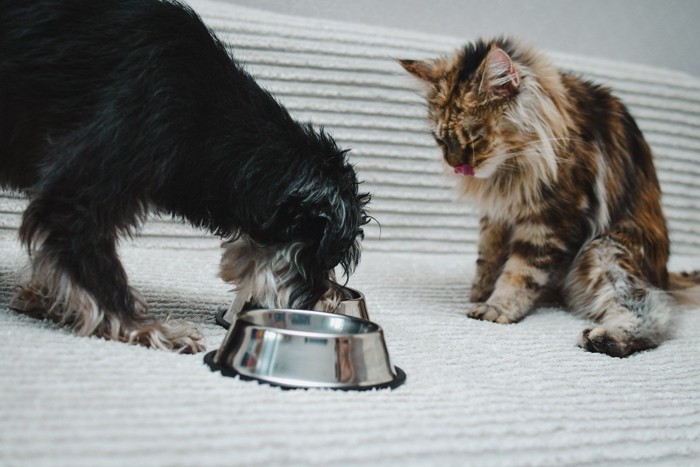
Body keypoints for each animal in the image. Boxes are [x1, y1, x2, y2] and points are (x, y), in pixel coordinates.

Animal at [0, 0, 370, 352]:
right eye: (324, 258)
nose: (332, 297)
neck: (210, 120)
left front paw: (43, 298)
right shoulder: (88, 182)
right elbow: (91, 259)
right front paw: (148, 328)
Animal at [400, 37, 700, 358]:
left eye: (476, 138)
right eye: (440, 141)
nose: (456, 166)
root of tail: (664, 274)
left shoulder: (549, 221)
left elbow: (520, 273)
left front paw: (496, 308)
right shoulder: (497, 216)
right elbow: (487, 257)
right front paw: (479, 291)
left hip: (605, 251)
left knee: (653, 309)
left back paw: (604, 338)